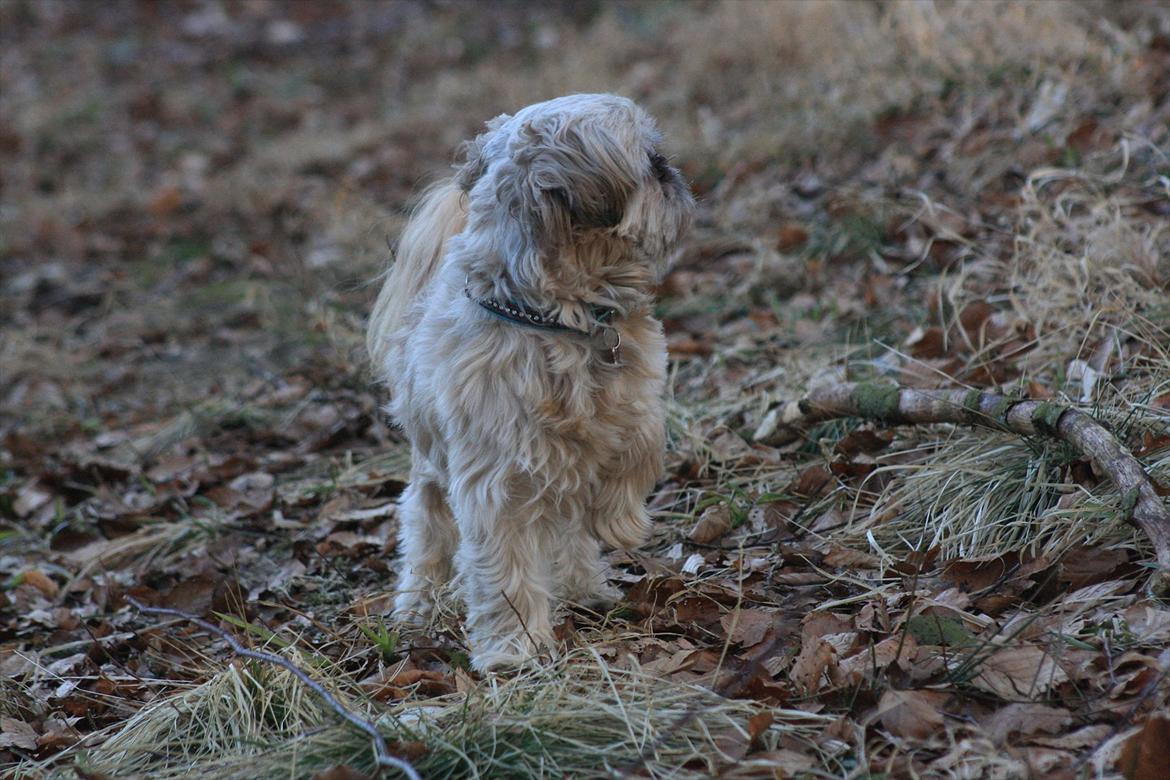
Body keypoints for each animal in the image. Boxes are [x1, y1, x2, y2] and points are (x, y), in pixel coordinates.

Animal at [367, 94, 692, 673]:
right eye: (651, 163)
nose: (672, 171)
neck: (555, 319)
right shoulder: (497, 484)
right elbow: (506, 566)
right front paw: (513, 648)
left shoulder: (639, 392)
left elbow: (642, 442)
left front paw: (620, 520)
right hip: (434, 473)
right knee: (429, 533)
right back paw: (418, 607)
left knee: (568, 533)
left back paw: (585, 587)